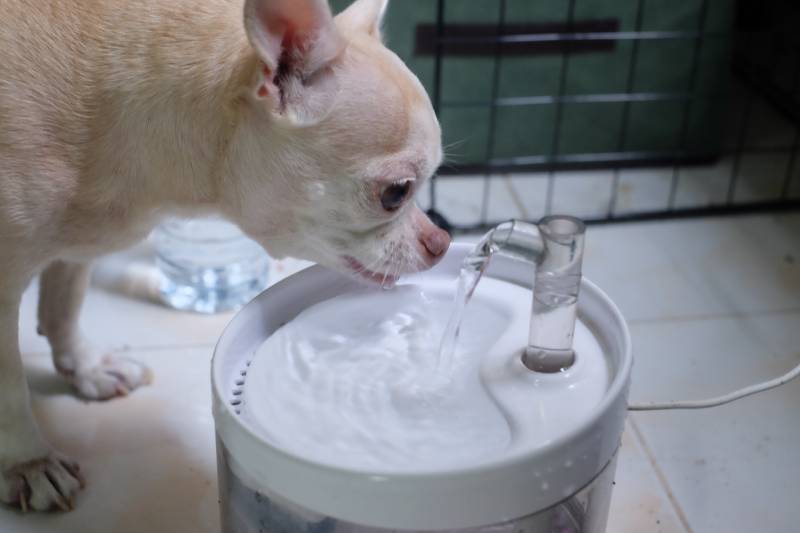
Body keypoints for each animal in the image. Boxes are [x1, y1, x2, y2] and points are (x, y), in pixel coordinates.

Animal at [0, 0, 450, 510]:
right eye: (396, 193)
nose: (441, 241)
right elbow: (8, 381)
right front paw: (28, 460)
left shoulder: (79, 245)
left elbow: (63, 306)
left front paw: (87, 367)